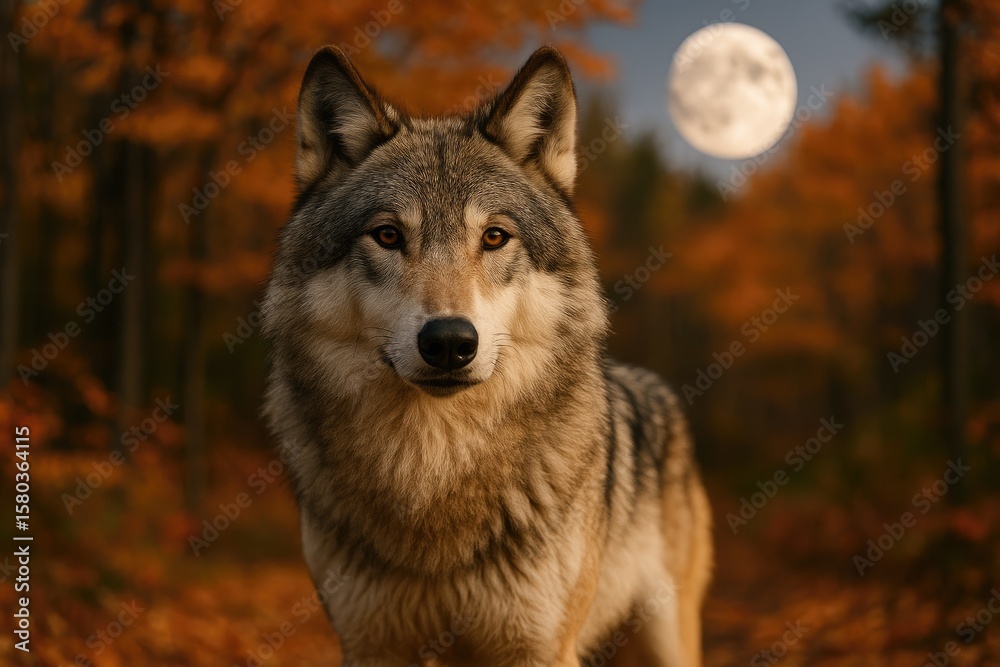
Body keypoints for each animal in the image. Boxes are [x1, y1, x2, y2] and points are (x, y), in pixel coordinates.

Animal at [262, 45, 712, 667]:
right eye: (387, 236)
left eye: (495, 237)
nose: (450, 341)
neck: (434, 468)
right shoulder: (372, 643)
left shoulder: (539, 648)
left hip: (668, 635)